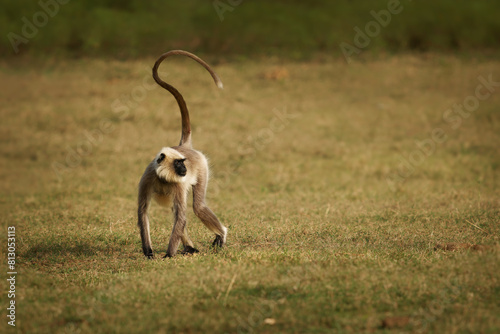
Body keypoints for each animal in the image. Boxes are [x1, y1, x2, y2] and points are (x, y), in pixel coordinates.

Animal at [139, 50, 229, 258]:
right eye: (178, 163)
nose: (184, 169)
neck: (163, 178)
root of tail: (184, 146)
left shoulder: (178, 184)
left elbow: (181, 216)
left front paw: (168, 256)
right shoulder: (148, 177)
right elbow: (144, 212)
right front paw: (148, 252)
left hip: (202, 167)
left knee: (198, 207)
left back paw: (221, 233)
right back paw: (189, 247)